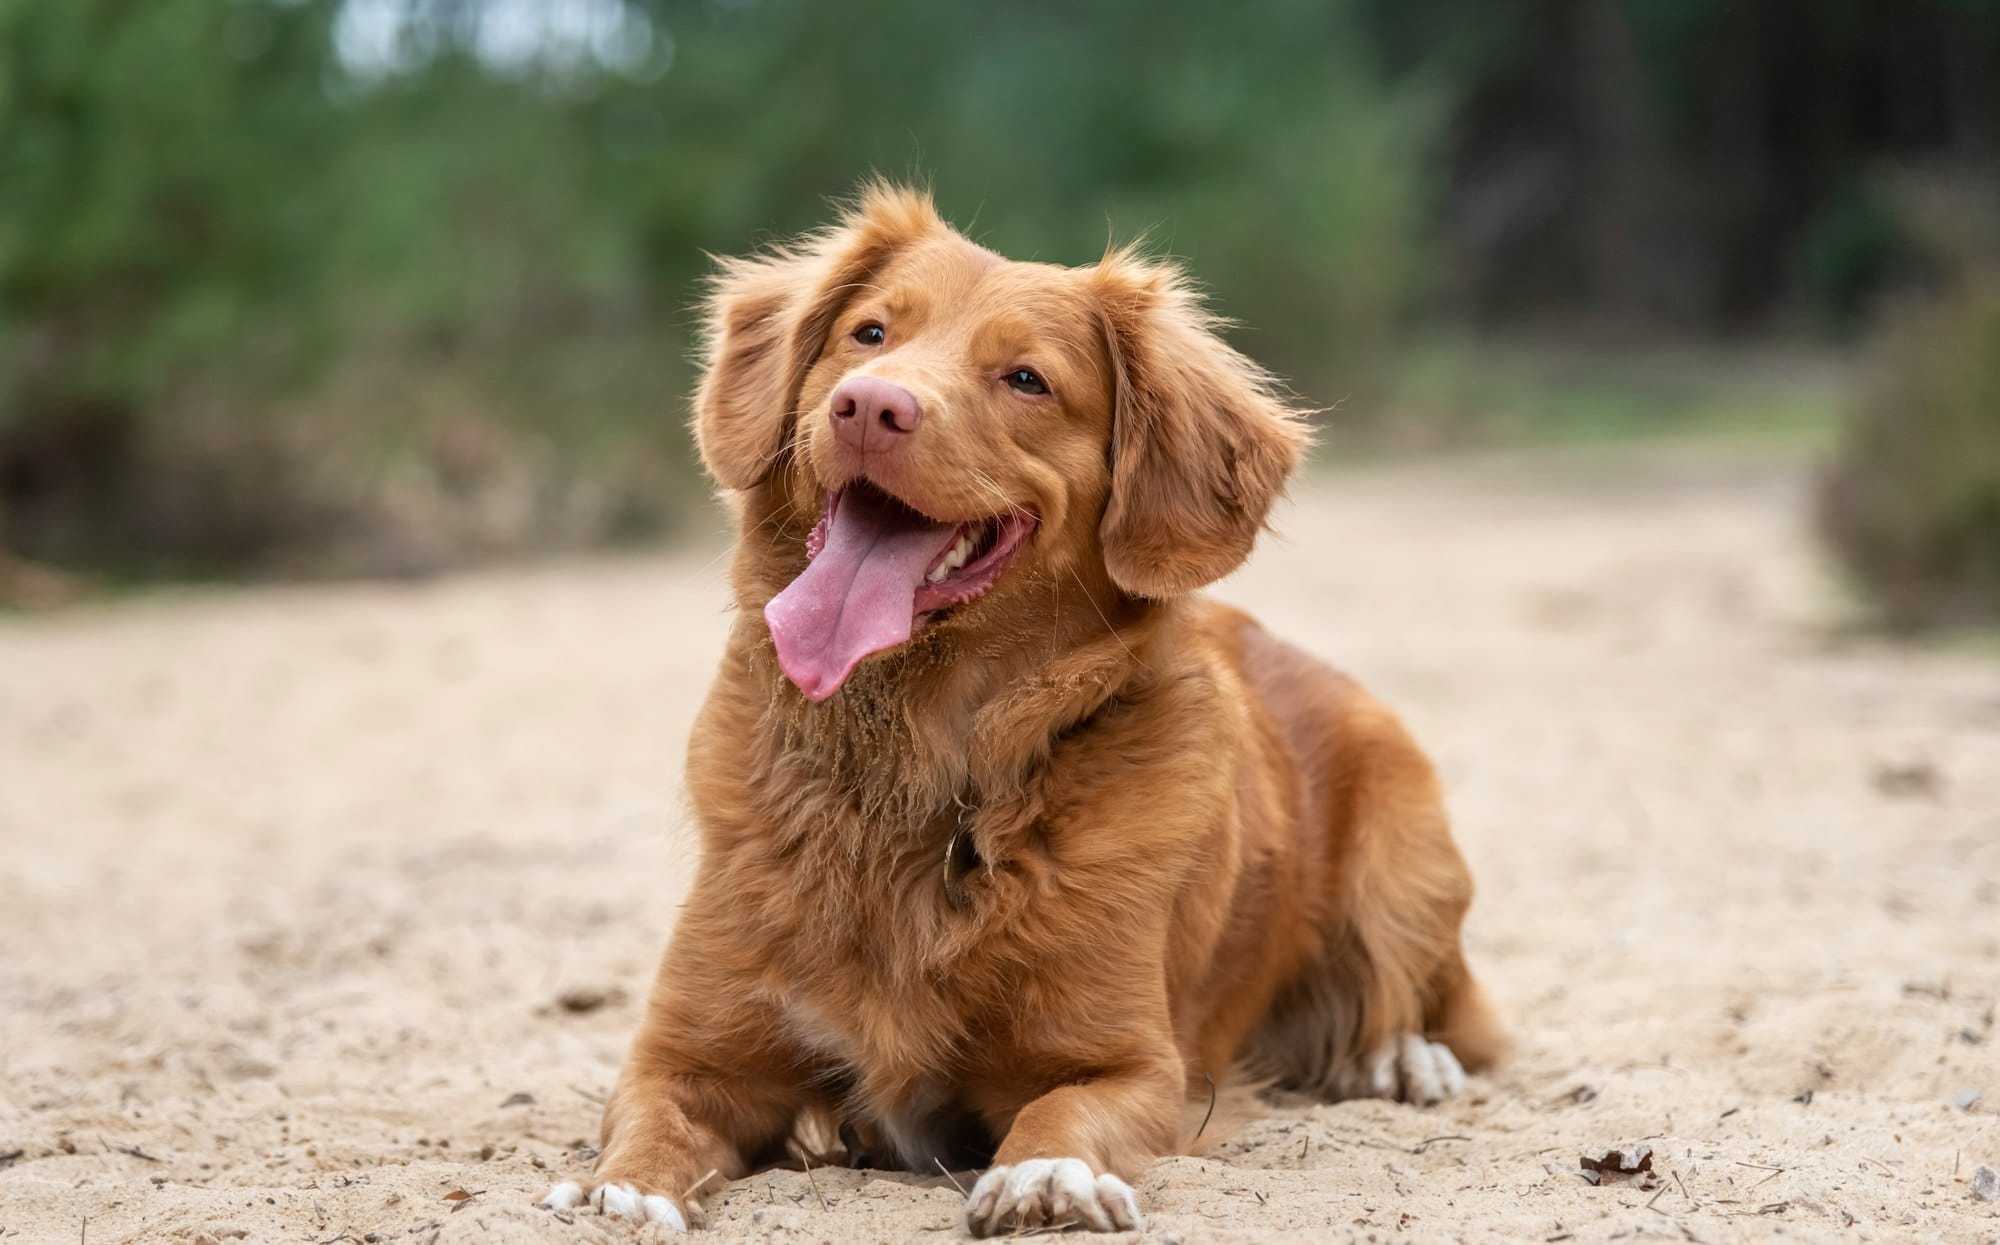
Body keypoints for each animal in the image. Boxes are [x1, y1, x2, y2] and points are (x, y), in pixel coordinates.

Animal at [540, 185, 1496, 1240]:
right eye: (868, 333)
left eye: (1027, 380)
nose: (869, 405)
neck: (917, 764)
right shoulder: (687, 1052)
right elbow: (650, 1122)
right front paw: (620, 1191)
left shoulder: (1132, 1063)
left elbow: (1062, 1110)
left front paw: (1049, 1177)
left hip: (1402, 851)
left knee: (1429, 999)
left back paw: (1399, 1057)